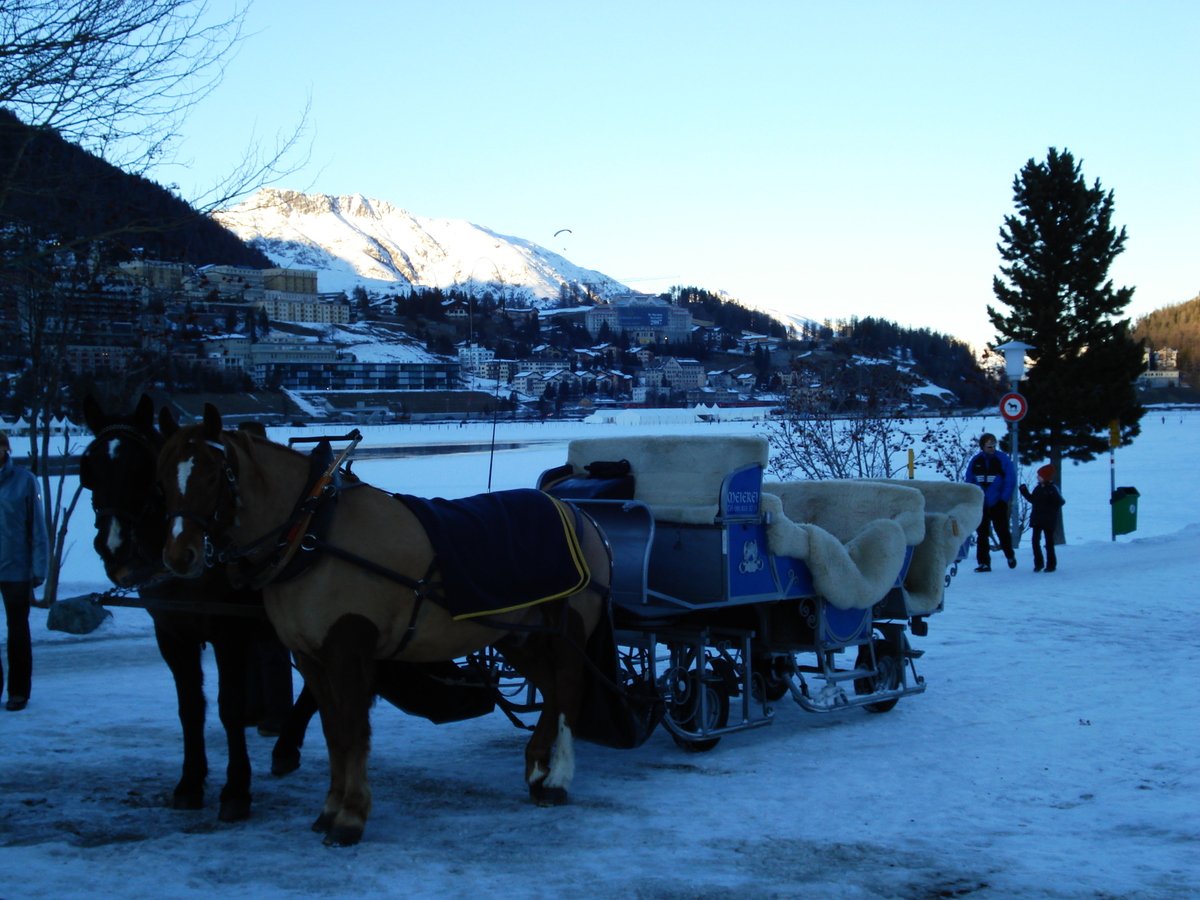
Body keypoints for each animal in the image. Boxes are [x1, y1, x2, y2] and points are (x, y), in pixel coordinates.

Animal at [154, 405, 609, 849]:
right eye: (163, 473)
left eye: (212, 474)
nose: (179, 556)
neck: (313, 533)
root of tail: (580, 514)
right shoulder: (309, 653)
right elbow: (333, 732)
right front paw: (330, 808)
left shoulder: (347, 647)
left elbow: (353, 731)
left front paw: (350, 815)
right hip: (517, 632)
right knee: (550, 687)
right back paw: (537, 768)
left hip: (569, 626)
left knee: (569, 686)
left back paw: (557, 778)